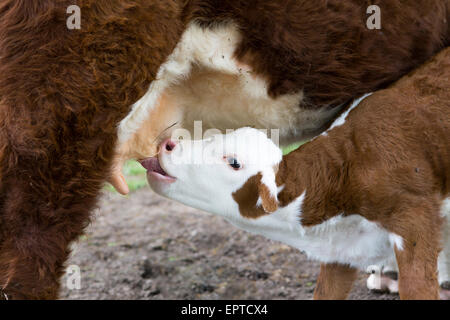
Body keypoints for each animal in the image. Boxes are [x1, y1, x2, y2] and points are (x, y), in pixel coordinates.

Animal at [142, 47, 450, 300]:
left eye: (234, 162)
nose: (168, 144)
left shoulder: (414, 219)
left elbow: (418, 286)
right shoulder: (342, 250)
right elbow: (326, 291)